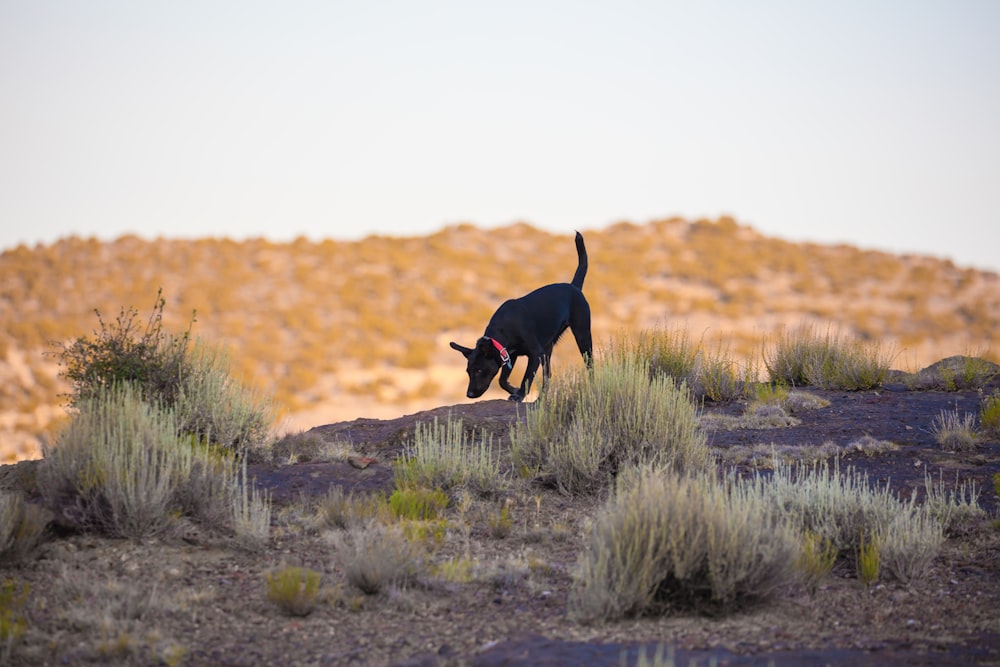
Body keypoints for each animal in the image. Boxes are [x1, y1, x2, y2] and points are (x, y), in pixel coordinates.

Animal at [454, 234, 592, 402]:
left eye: (479, 370)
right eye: (468, 371)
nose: (469, 394)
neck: (504, 328)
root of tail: (574, 287)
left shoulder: (535, 354)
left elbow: (526, 378)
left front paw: (519, 394)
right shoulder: (510, 356)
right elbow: (502, 380)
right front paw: (513, 389)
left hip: (582, 335)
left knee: (590, 365)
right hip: (548, 349)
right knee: (548, 376)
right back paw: (541, 399)